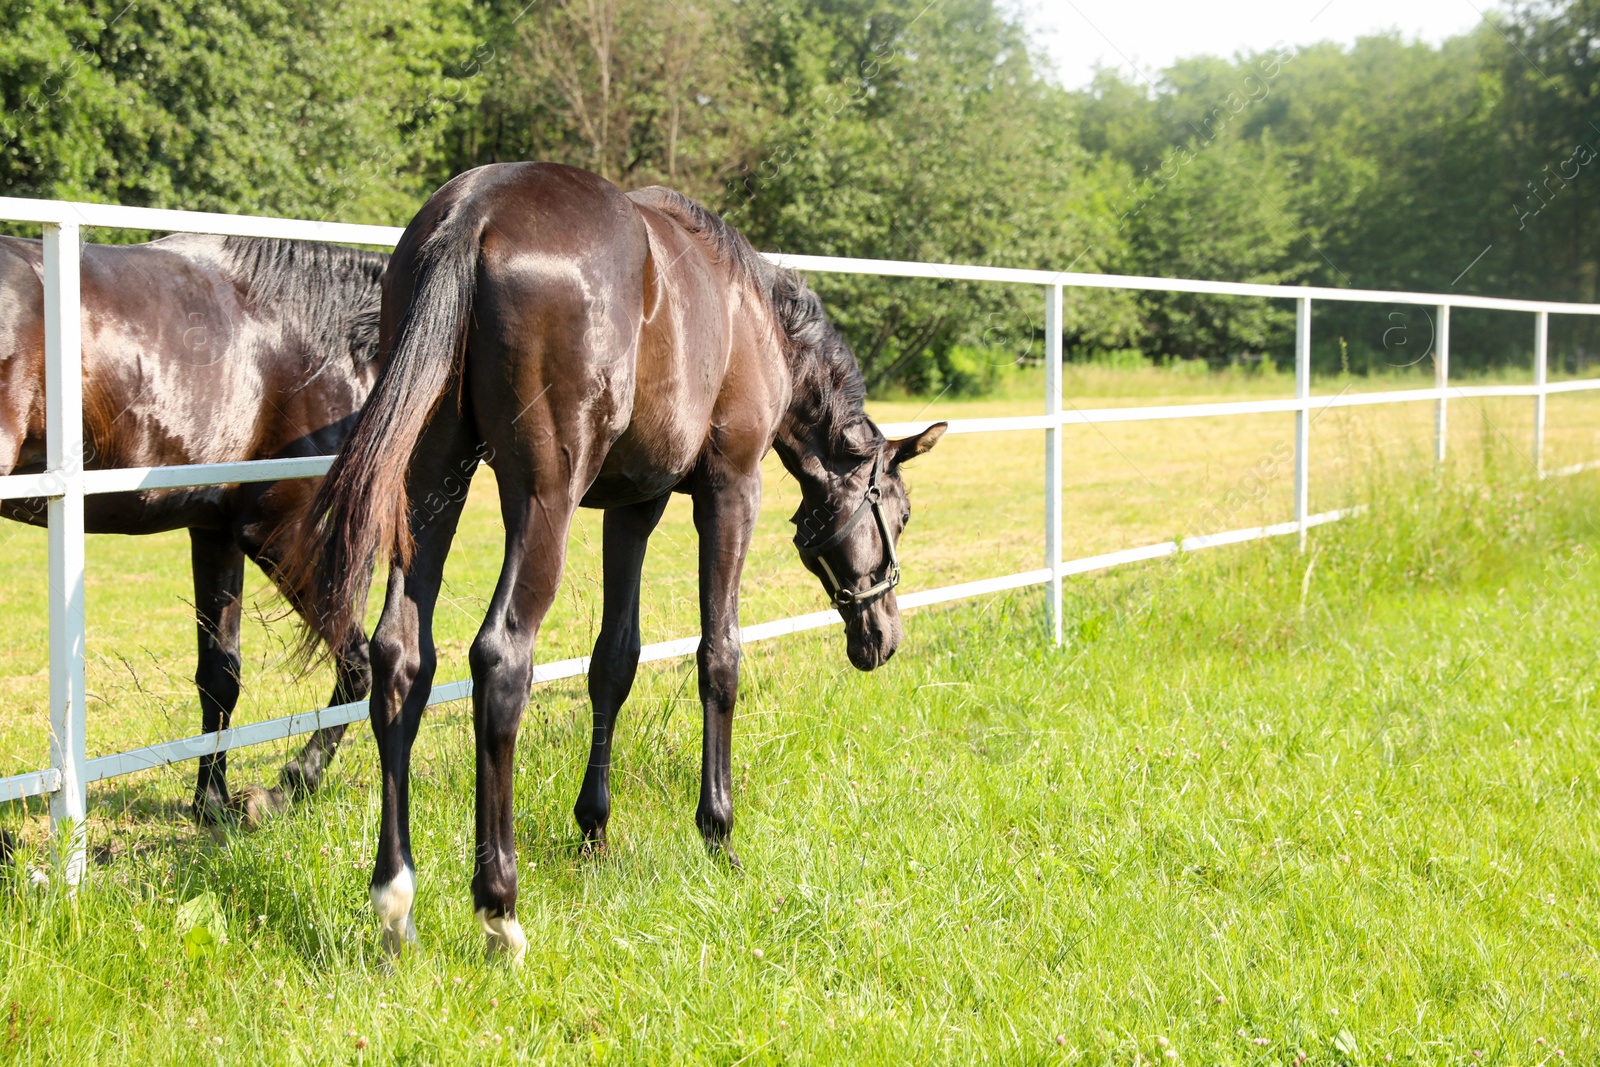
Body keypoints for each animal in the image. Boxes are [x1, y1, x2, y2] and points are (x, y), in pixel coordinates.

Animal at [0, 231, 384, 825]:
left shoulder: (215, 531)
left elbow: (220, 675)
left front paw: (213, 802)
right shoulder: (277, 531)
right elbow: (357, 664)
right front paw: (288, 785)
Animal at [299, 160, 940, 966]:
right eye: (899, 512)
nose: (883, 635)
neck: (751, 312)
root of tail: (476, 212)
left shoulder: (635, 506)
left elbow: (615, 660)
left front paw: (594, 829)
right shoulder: (730, 489)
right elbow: (718, 655)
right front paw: (718, 832)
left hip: (431, 478)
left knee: (400, 656)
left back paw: (395, 899)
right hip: (542, 495)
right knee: (501, 657)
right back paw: (499, 908)